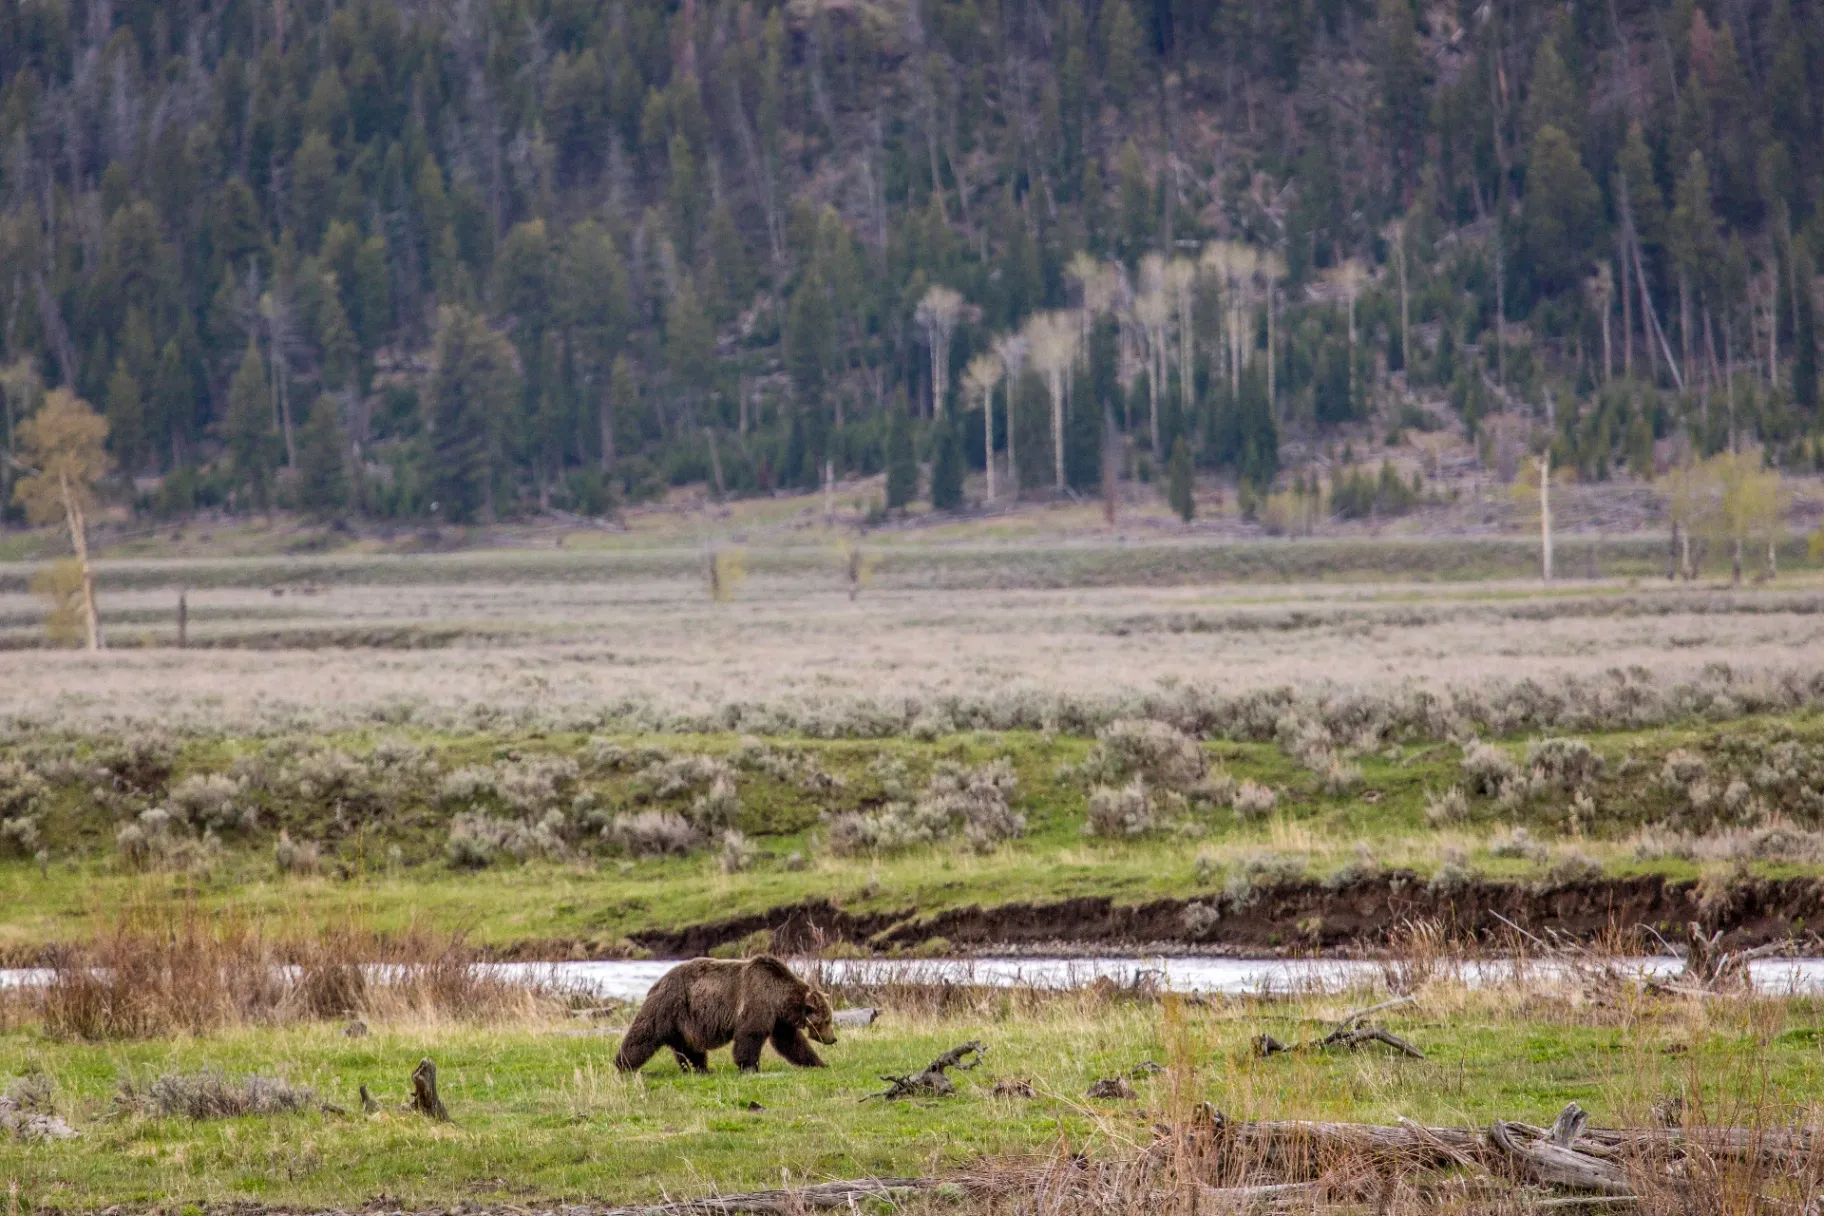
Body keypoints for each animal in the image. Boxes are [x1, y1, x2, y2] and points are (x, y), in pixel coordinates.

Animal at [613, 954, 838, 1074]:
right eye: (827, 1020)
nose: (833, 1039)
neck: (779, 999)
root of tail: (658, 982)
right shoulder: (757, 1003)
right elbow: (750, 1035)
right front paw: (750, 1066)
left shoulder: (779, 1019)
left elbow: (791, 1042)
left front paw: (819, 1063)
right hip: (670, 1007)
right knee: (644, 1035)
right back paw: (623, 1064)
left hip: (684, 1023)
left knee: (689, 1047)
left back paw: (701, 1068)